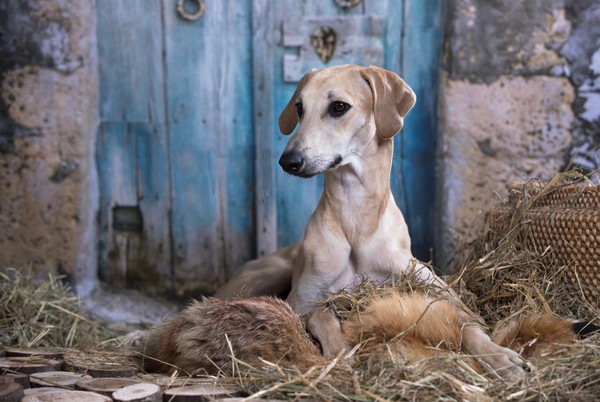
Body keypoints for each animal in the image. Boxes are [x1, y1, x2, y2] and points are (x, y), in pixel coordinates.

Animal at [214, 64, 524, 378]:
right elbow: (322, 314)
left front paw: (499, 355)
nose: (288, 161)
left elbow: (466, 322)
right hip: (264, 275)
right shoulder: (300, 301)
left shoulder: (443, 293)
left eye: (339, 106)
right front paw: (341, 352)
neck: (355, 217)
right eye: (299, 107)